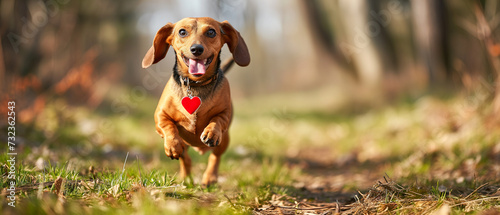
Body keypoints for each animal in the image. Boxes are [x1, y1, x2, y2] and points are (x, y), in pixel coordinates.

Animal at [141, 16, 250, 186]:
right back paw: (186, 177)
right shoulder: (159, 115)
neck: (195, 85)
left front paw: (211, 132)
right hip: (185, 146)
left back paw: (209, 178)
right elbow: (167, 126)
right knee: (185, 158)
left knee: (215, 157)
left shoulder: (224, 113)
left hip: (224, 141)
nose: (196, 49)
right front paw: (172, 145)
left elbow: (218, 120)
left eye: (211, 32)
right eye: (182, 32)